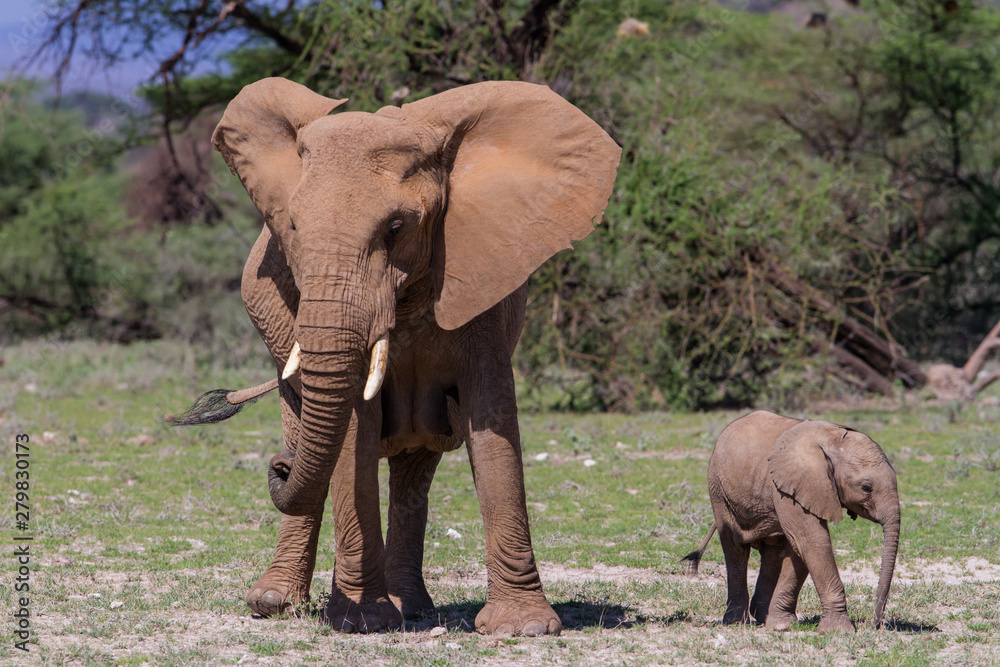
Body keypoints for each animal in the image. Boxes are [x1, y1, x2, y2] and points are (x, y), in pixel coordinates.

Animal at [176, 78, 620, 636]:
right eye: (292, 227)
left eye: (396, 228)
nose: (278, 466)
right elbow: (353, 432)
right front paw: (362, 620)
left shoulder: (483, 286)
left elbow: (492, 422)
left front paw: (522, 628)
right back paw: (276, 603)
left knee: (414, 469)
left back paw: (412, 609)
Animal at [684, 410, 904, 636]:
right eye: (866, 487)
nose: (876, 624)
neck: (833, 440)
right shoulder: (791, 487)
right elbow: (810, 540)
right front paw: (839, 631)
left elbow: (798, 547)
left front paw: (781, 625)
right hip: (718, 489)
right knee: (735, 549)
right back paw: (736, 622)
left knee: (773, 551)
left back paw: (762, 616)